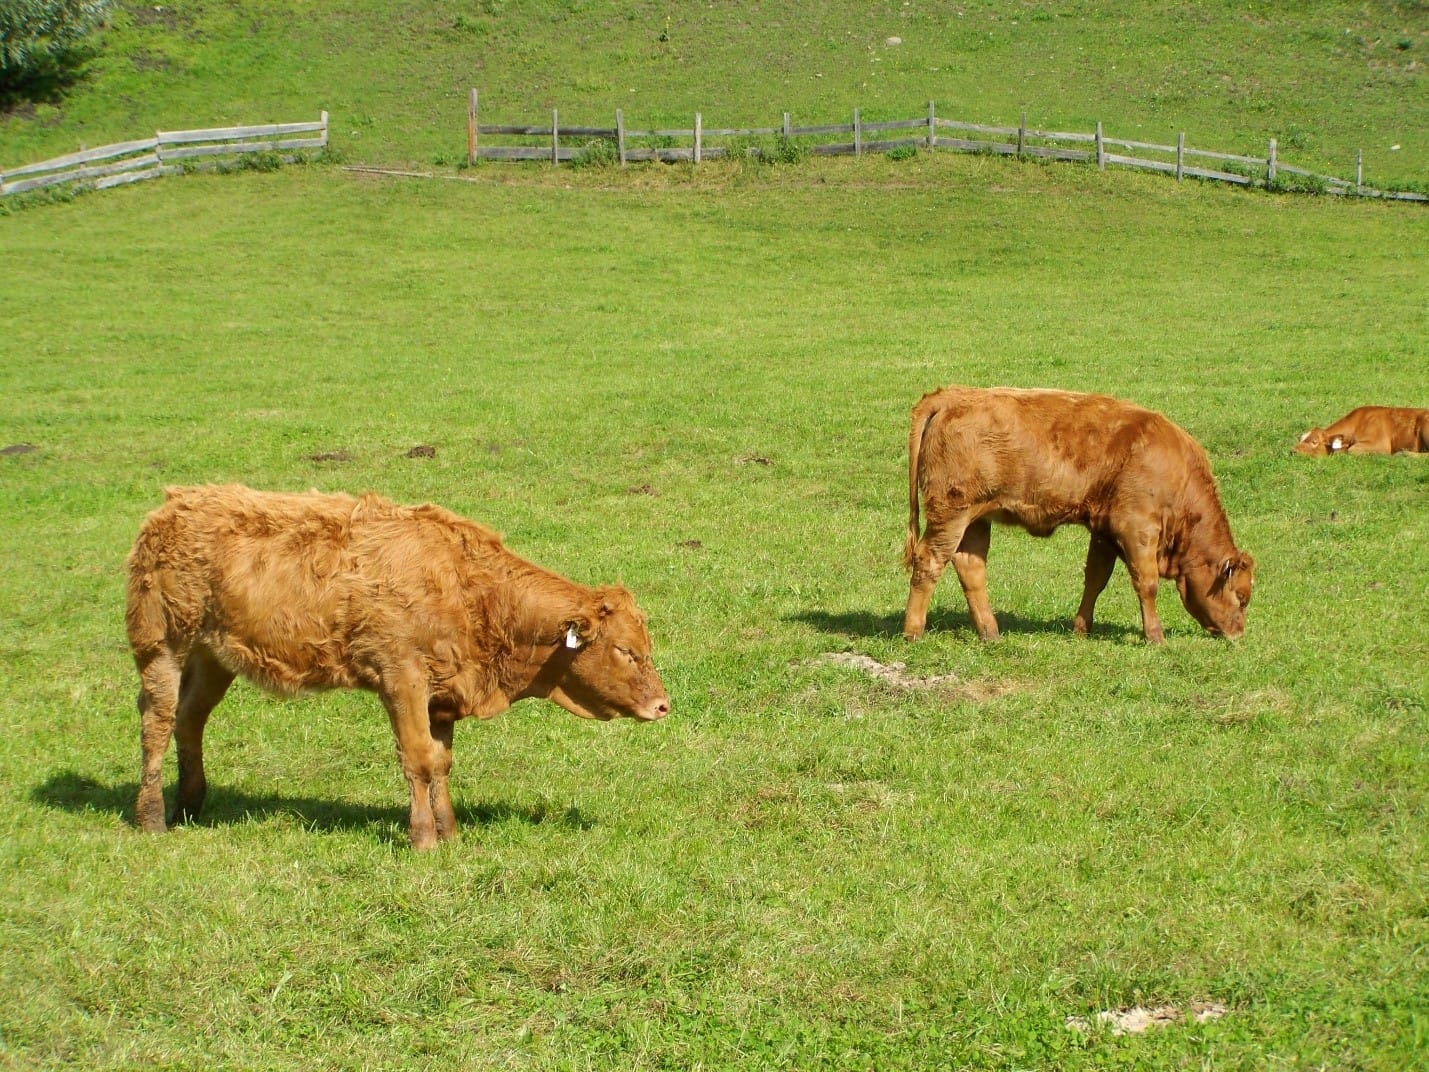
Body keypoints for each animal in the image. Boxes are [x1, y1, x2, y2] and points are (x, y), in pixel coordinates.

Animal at [125, 485, 671, 846]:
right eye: (626, 650)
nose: (663, 705)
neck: (470, 589)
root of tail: (176, 502)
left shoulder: (443, 695)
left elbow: (441, 762)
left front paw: (450, 832)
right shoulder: (402, 680)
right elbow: (418, 759)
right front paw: (423, 838)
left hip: (213, 658)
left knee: (189, 720)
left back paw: (190, 806)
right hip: (161, 646)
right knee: (157, 723)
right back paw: (152, 817)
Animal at [903, 391, 1251, 651]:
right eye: (1242, 597)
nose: (1237, 635)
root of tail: (952, 394)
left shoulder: (1104, 532)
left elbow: (1096, 579)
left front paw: (1081, 629)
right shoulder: (1138, 529)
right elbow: (1147, 584)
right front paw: (1156, 637)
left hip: (976, 519)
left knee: (971, 567)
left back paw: (990, 633)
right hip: (951, 514)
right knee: (929, 561)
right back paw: (913, 632)